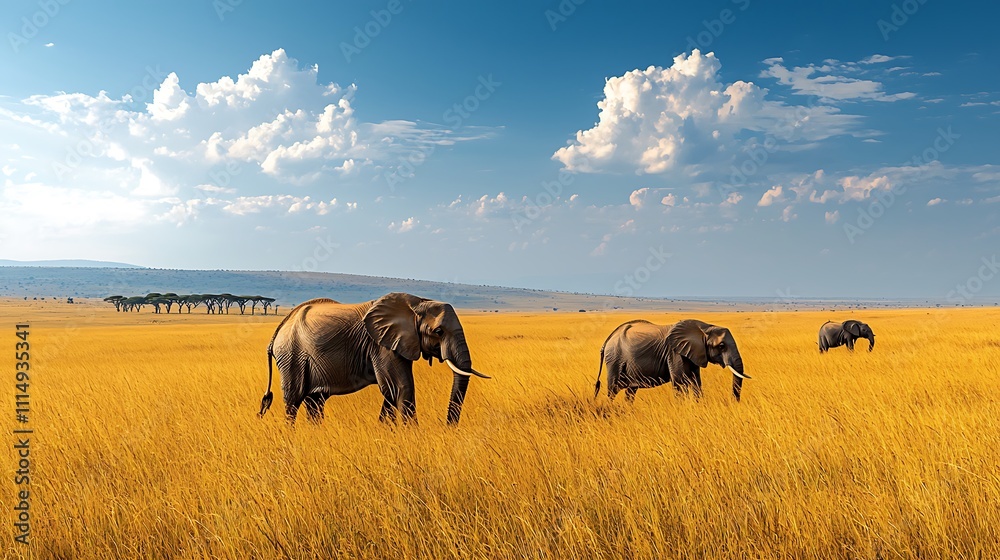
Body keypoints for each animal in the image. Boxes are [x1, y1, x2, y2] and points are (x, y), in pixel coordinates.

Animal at [257, 293, 490, 425]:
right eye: (439, 331)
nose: (447, 426)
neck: (417, 303)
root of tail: (278, 330)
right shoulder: (381, 344)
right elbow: (401, 387)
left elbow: (391, 391)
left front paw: (384, 429)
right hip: (292, 357)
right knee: (293, 401)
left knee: (315, 402)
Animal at [594, 319, 750, 402]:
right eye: (722, 346)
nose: (733, 402)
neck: (704, 327)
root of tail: (607, 340)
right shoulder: (674, 352)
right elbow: (679, 381)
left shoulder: (693, 353)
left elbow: (696, 381)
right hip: (614, 359)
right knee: (613, 390)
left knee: (631, 391)